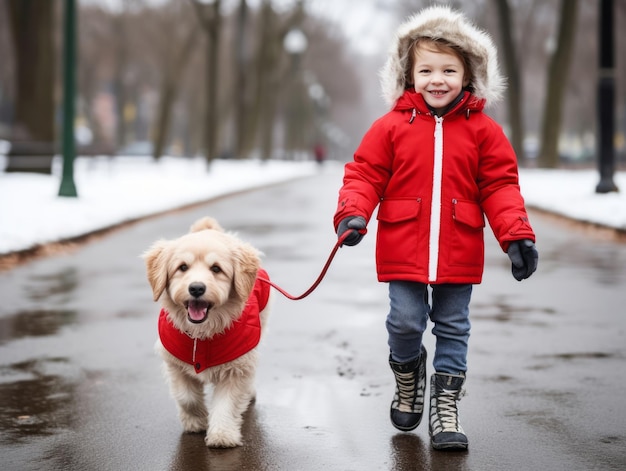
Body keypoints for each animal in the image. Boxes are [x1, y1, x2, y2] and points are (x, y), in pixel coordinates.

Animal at [144, 216, 270, 448]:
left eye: (216, 269)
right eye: (182, 267)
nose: (196, 288)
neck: (201, 333)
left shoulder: (237, 366)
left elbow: (227, 403)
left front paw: (222, 435)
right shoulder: (174, 361)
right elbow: (186, 397)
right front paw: (196, 421)